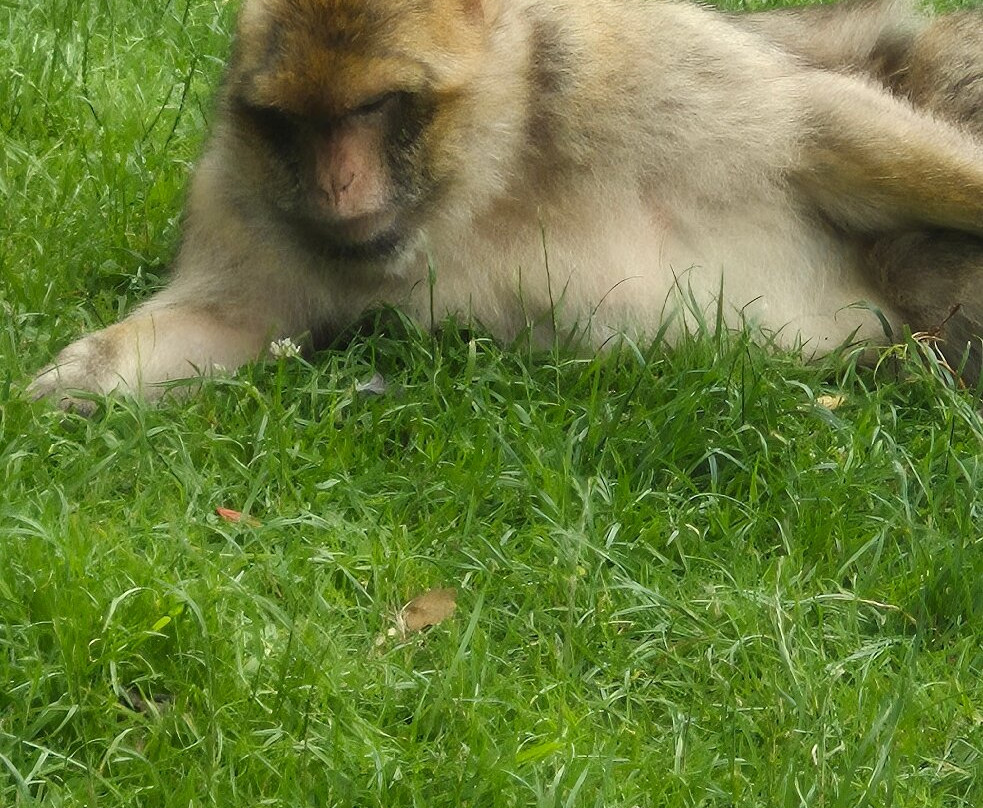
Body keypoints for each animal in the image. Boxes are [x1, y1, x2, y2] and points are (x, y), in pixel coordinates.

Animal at [28, 0, 983, 410]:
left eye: (373, 108)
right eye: (296, 122)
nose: (337, 186)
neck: (486, 179)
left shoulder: (620, 58)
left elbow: (817, 124)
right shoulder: (247, 196)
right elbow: (228, 322)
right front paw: (62, 393)